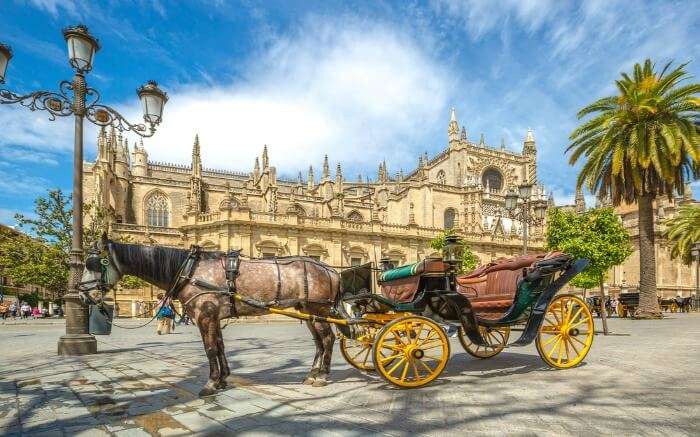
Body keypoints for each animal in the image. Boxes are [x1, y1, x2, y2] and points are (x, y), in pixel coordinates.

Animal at [80, 235, 342, 396]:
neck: (189, 270)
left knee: (328, 339)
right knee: (319, 342)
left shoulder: (204, 316)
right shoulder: (213, 317)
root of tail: (330, 269)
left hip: (318, 310)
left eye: (93, 263)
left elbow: (209, 349)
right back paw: (312, 374)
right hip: (308, 311)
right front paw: (223, 378)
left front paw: (210, 382)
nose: (83, 295)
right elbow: (219, 346)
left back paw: (322, 376)